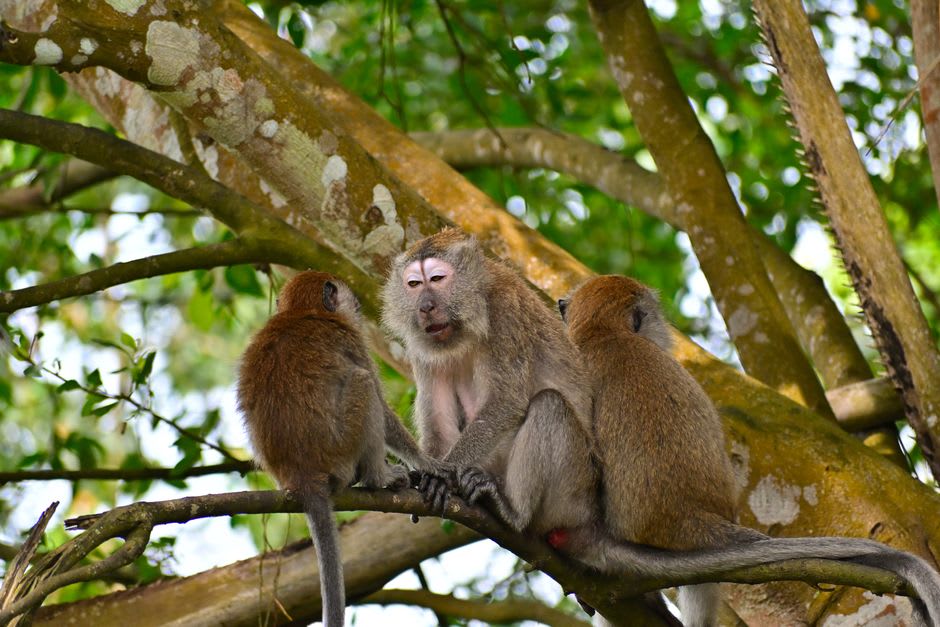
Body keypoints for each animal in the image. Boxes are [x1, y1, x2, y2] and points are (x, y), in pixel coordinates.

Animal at [237, 270, 453, 627]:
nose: (358, 304)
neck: (302, 312)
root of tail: (303, 477)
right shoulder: (351, 339)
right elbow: (381, 404)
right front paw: (427, 463)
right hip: (343, 448)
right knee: (363, 382)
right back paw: (379, 477)